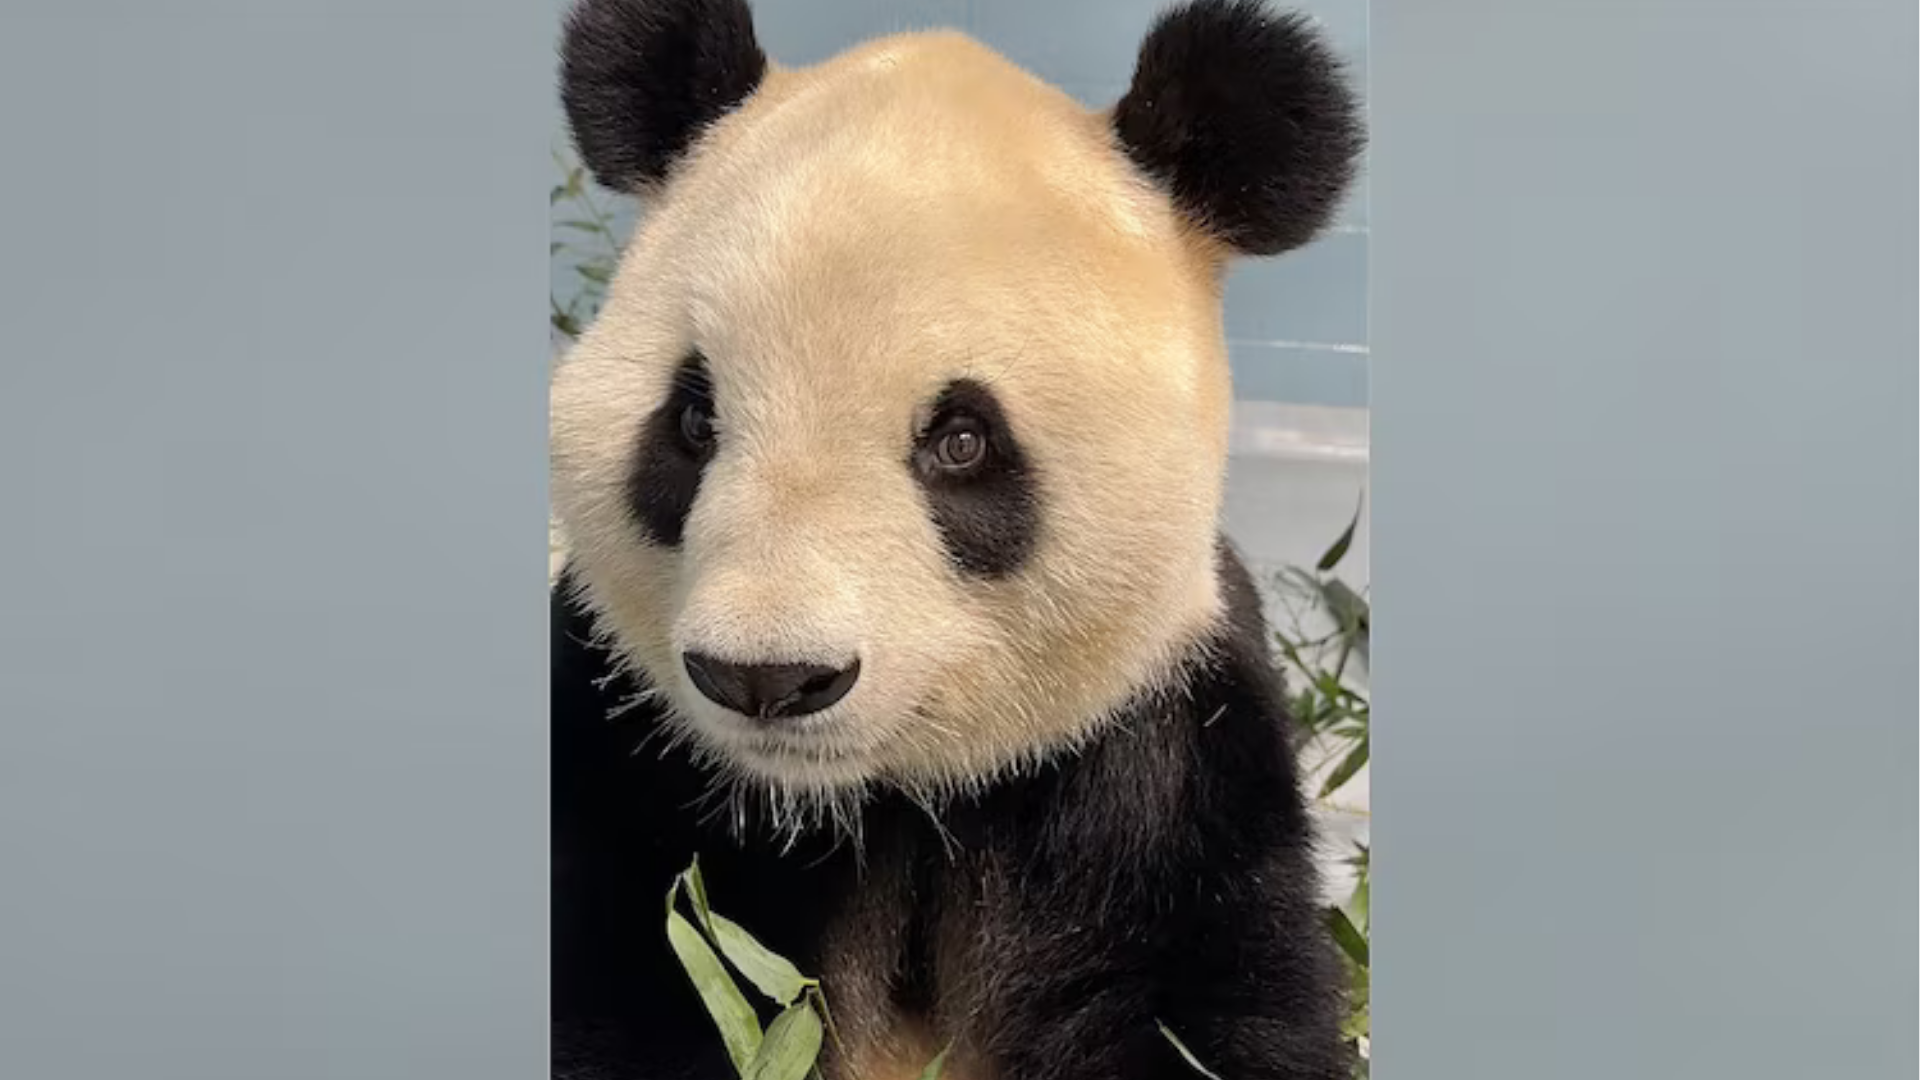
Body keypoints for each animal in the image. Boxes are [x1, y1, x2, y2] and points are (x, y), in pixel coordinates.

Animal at [548, 1, 1365, 1077]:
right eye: (692, 421)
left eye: (962, 441)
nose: (765, 678)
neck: (882, 799)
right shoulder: (636, 760)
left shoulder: (1157, 745)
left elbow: (1199, 1000)